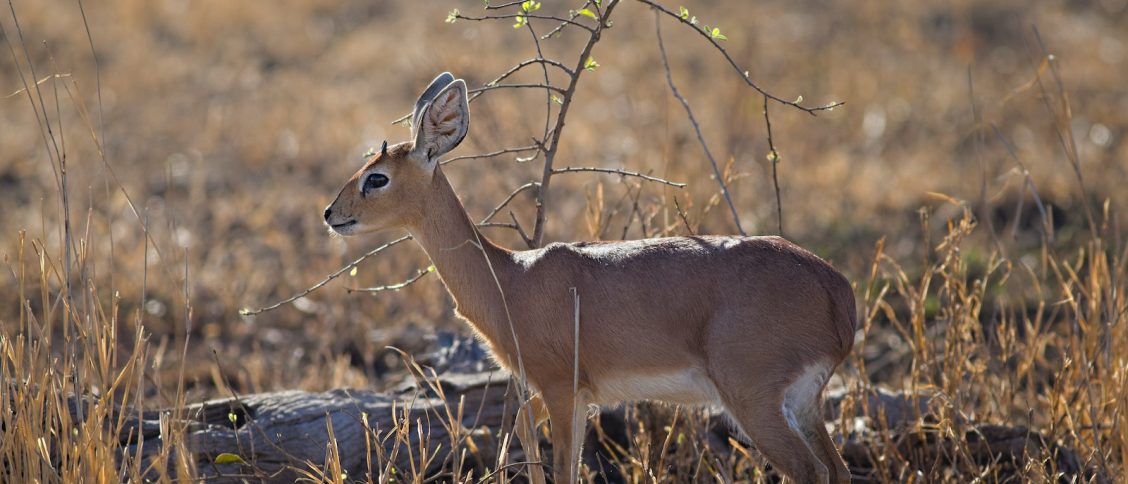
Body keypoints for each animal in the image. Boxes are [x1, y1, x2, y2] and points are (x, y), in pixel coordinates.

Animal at [322, 72, 857, 482]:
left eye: (376, 178)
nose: (331, 214)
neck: (510, 281)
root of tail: (838, 291)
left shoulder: (561, 388)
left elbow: (562, 467)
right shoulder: (575, 395)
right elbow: (523, 431)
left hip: (754, 399)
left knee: (811, 472)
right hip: (804, 402)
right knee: (838, 469)